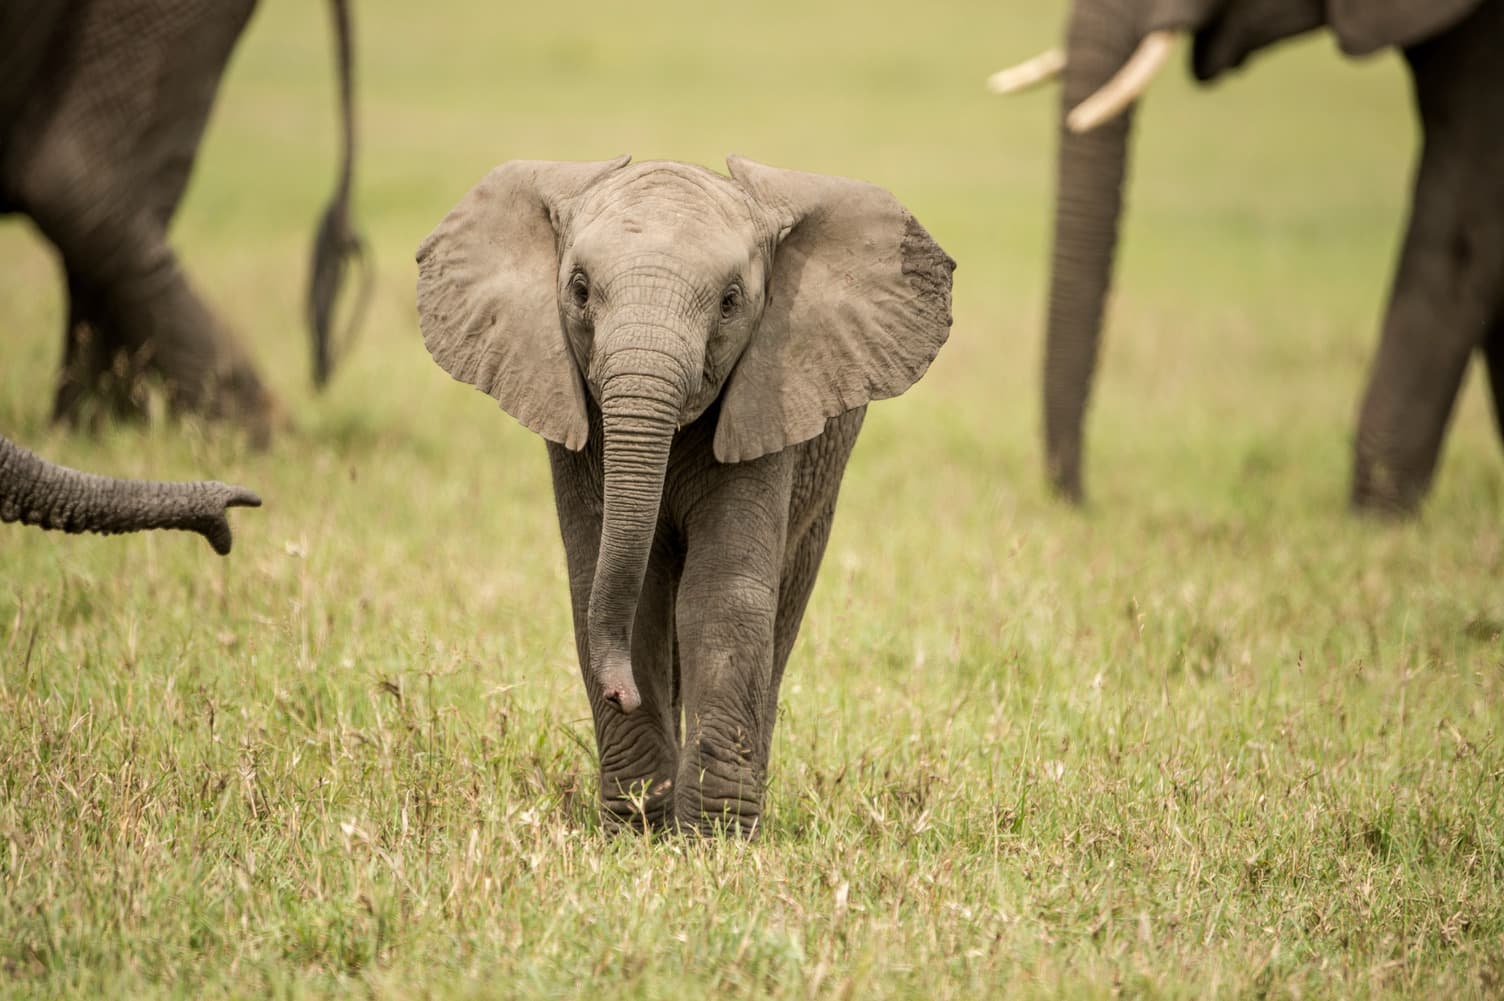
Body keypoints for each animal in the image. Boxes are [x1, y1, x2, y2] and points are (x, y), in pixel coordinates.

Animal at [416, 156, 955, 835]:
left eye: (730, 303)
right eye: (580, 290)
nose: (620, 691)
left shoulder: (767, 400)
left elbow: (720, 595)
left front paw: (714, 838)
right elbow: (625, 593)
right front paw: (638, 829)